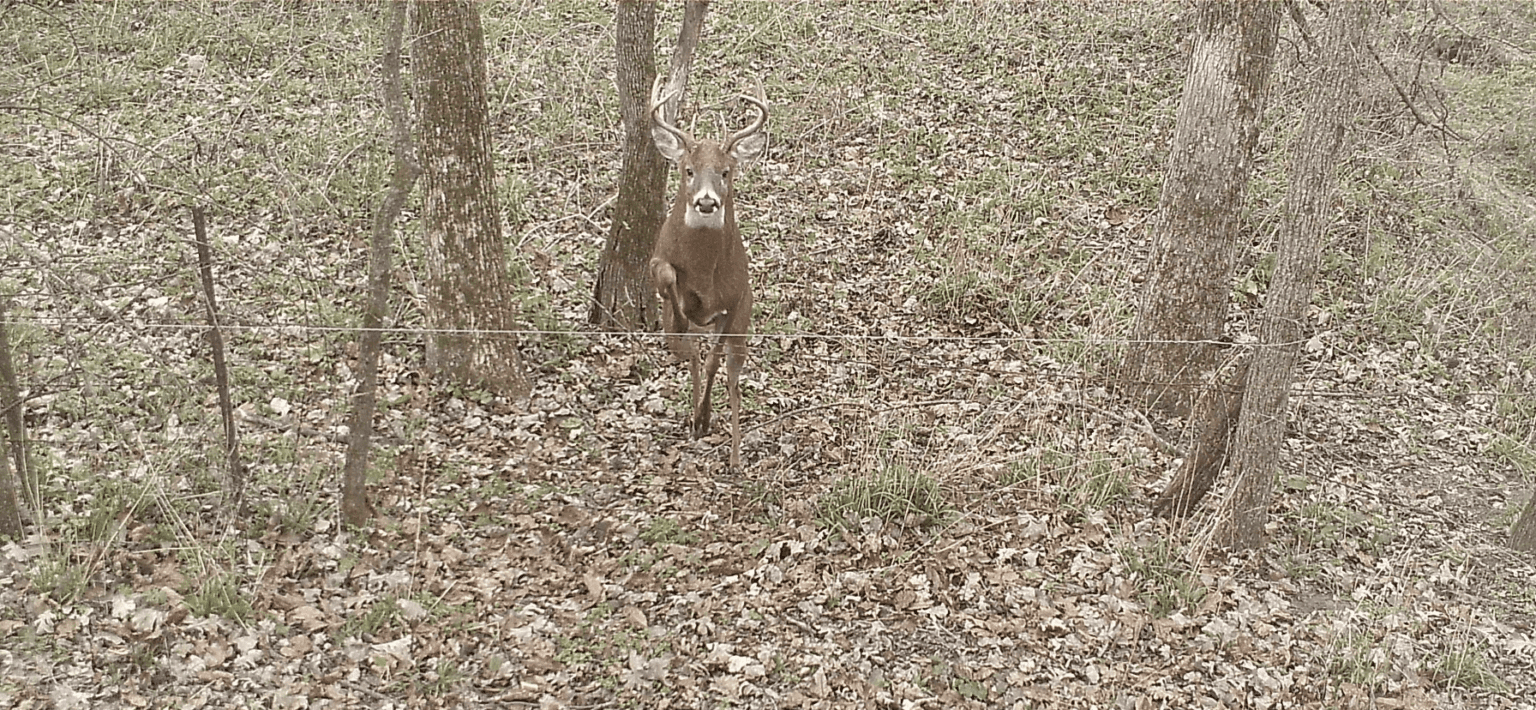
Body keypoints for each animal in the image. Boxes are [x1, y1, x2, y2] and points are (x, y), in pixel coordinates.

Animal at [648, 76, 767, 471]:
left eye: (726, 172)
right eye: (688, 170)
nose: (706, 201)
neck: (703, 270)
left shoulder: (735, 302)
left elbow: (716, 362)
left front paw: (704, 416)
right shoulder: (658, 260)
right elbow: (667, 278)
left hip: (742, 325)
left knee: (731, 376)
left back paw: (732, 453)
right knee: (692, 352)